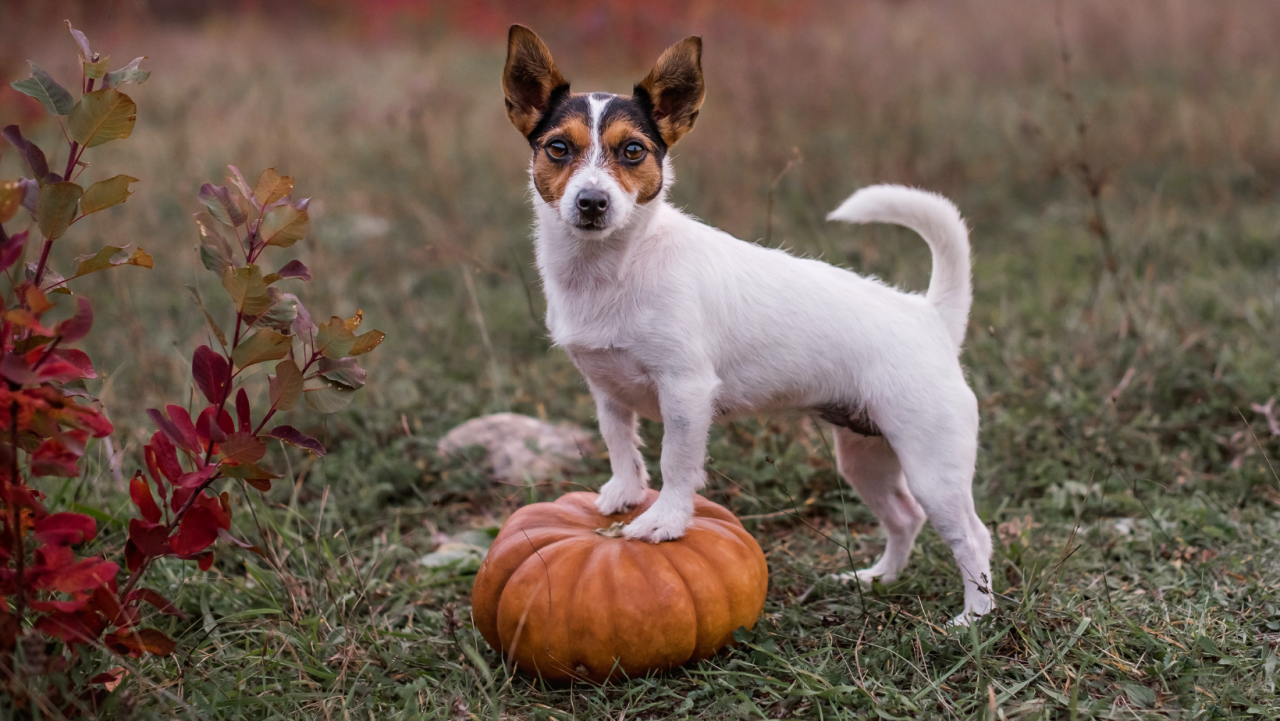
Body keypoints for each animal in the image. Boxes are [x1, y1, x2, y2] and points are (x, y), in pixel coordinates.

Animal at [499, 25, 988, 622]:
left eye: (633, 151)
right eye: (558, 149)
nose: (592, 202)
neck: (614, 268)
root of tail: (930, 314)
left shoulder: (686, 392)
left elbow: (675, 462)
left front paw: (664, 520)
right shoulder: (606, 389)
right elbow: (620, 442)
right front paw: (624, 494)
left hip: (932, 465)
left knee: (972, 536)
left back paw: (973, 618)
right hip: (865, 455)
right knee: (903, 516)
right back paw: (878, 580)